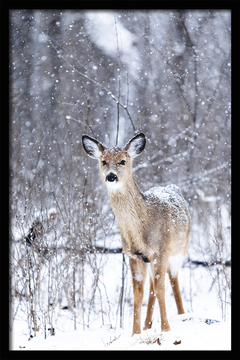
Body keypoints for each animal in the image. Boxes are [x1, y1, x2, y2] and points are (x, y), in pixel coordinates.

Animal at [82, 133, 191, 338]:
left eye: (123, 161)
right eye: (103, 161)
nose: (111, 176)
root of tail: (172, 186)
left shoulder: (161, 250)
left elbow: (161, 288)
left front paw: (166, 329)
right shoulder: (134, 255)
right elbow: (138, 293)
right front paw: (135, 333)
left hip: (180, 250)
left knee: (172, 280)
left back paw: (182, 315)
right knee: (152, 288)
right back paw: (148, 325)